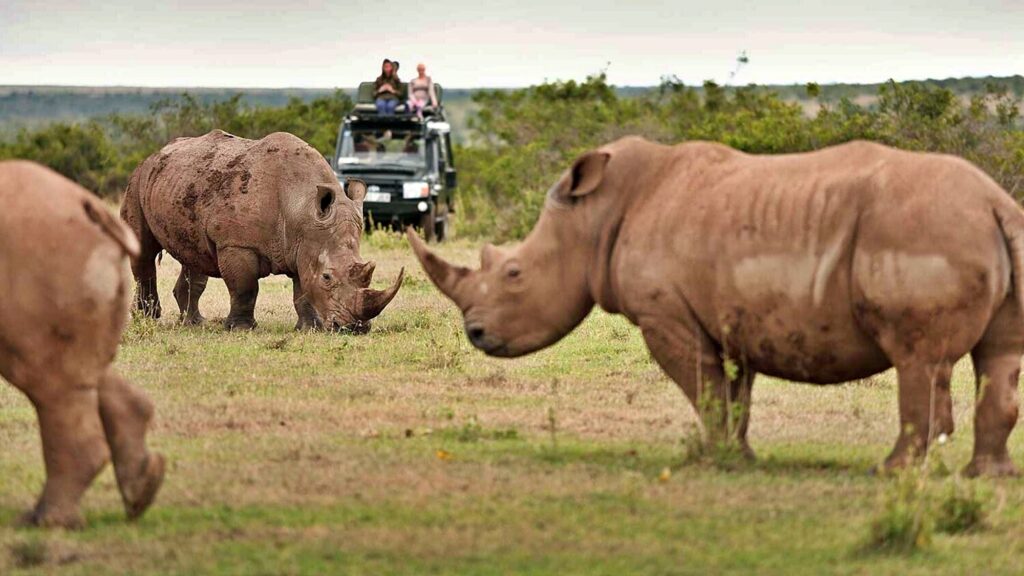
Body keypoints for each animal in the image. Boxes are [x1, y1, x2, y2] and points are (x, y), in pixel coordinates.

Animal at [0, 161, 164, 528]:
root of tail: (89, 207)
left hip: (47, 256)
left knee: (48, 379)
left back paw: (46, 522)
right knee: (78, 371)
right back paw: (142, 492)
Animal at [121, 130, 402, 332]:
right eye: (327, 277)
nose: (355, 328)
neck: (301, 207)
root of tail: (155, 155)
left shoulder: (302, 246)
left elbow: (302, 291)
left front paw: (308, 328)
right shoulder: (236, 244)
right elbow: (245, 288)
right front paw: (241, 329)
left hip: (180, 185)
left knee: (193, 256)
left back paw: (194, 323)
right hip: (137, 181)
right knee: (144, 252)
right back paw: (148, 318)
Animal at [410, 137, 1024, 476]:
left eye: (513, 274)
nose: (476, 333)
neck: (596, 217)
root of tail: (996, 202)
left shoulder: (667, 318)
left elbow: (703, 388)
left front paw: (714, 459)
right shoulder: (737, 317)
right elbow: (735, 394)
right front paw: (740, 458)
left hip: (925, 229)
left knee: (917, 359)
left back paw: (890, 471)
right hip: (971, 228)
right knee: (998, 358)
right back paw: (987, 477)